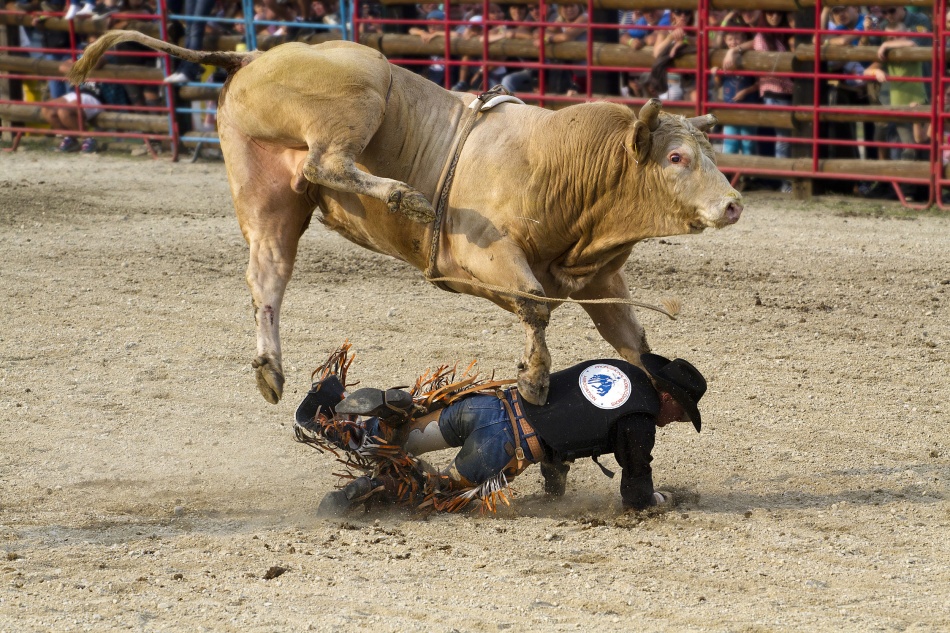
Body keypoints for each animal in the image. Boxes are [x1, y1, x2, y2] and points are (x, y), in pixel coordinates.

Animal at [70, 32, 742, 407]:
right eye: (677, 158)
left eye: (708, 152)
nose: (733, 203)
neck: (565, 163)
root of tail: (254, 55)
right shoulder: (482, 253)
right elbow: (534, 304)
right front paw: (533, 382)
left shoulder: (600, 278)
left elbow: (632, 339)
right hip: (360, 90)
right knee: (326, 161)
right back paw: (404, 196)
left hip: (266, 189)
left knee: (268, 273)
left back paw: (270, 368)